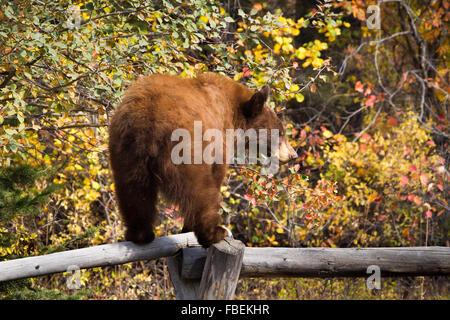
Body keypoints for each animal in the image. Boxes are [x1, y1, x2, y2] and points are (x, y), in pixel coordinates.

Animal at [108, 72, 298, 248]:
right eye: (281, 133)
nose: (293, 155)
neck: (232, 110)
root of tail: (149, 117)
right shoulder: (219, 137)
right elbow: (217, 174)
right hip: (185, 149)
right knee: (199, 191)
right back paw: (214, 233)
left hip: (127, 150)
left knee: (134, 191)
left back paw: (140, 234)